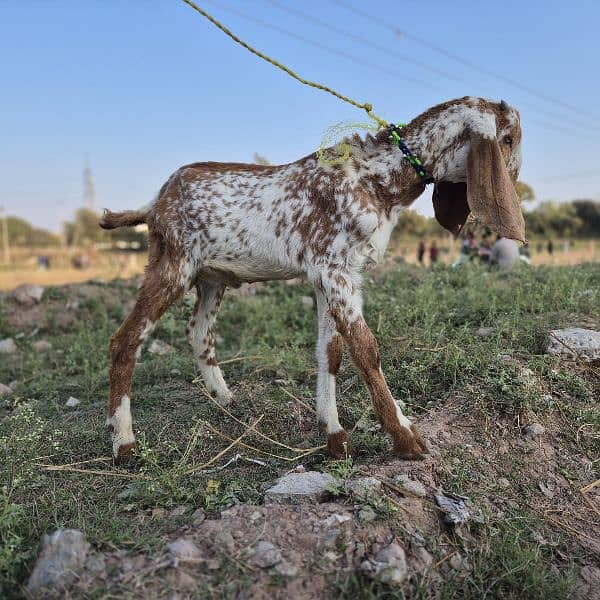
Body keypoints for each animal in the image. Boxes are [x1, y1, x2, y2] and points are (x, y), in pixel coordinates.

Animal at [101, 96, 524, 462]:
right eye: (507, 139)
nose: (516, 182)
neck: (376, 179)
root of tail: (156, 202)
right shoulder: (337, 272)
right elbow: (365, 349)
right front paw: (405, 437)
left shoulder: (329, 276)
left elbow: (330, 352)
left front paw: (334, 435)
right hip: (173, 265)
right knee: (126, 339)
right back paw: (124, 443)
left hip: (211, 278)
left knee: (200, 332)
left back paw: (226, 400)